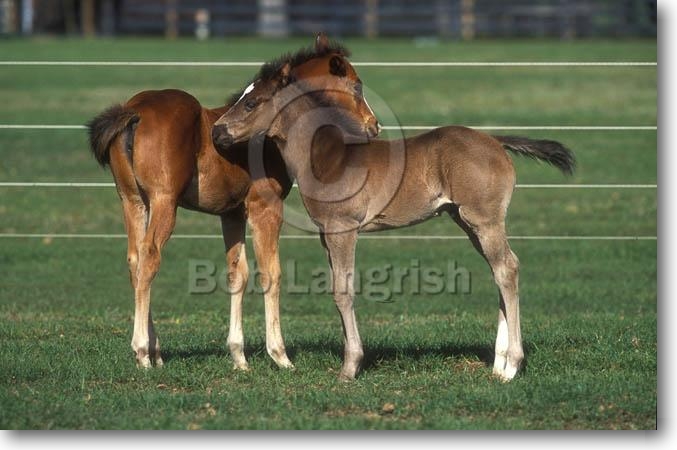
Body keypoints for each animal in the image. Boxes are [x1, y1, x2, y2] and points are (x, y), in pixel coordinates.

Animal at [86, 33, 379, 371]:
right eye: (357, 86)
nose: (373, 125)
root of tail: (134, 111)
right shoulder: (266, 207)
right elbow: (271, 273)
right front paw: (280, 355)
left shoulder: (232, 214)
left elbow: (237, 273)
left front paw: (239, 356)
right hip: (163, 201)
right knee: (150, 257)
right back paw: (143, 351)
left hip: (132, 200)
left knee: (135, 259)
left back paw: (156, 350)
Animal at [211, 61, 575, 381]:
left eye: (251, 102)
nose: (216, 132)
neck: (327, 158)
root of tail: (496, 141)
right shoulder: (326, 233)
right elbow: (337, 288)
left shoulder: (343, 229)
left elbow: (343, 291)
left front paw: (350, 367)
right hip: (467, 221)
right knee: (500, 270)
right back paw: (498, 365)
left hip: (484, 219)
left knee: (506, 269)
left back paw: (512, 366)